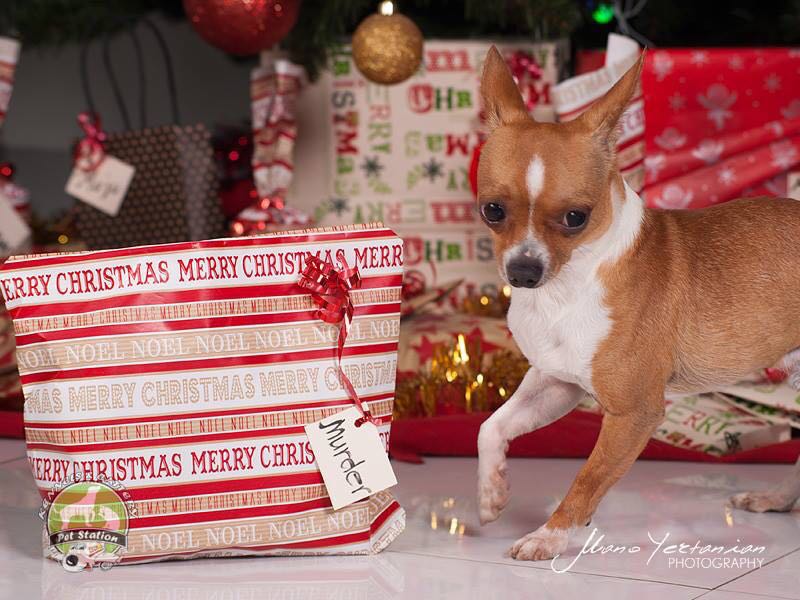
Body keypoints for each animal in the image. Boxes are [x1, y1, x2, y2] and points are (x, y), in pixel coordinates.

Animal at [475, 45, 800, 561]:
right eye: (492, 210)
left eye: (575, 217)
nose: (524, 271)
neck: (567, 288)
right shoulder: (556, 383)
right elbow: (489, 427)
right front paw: (492, 492)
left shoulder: (635, 413)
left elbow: (588, 477)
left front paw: (550, 535)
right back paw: (778, 498)